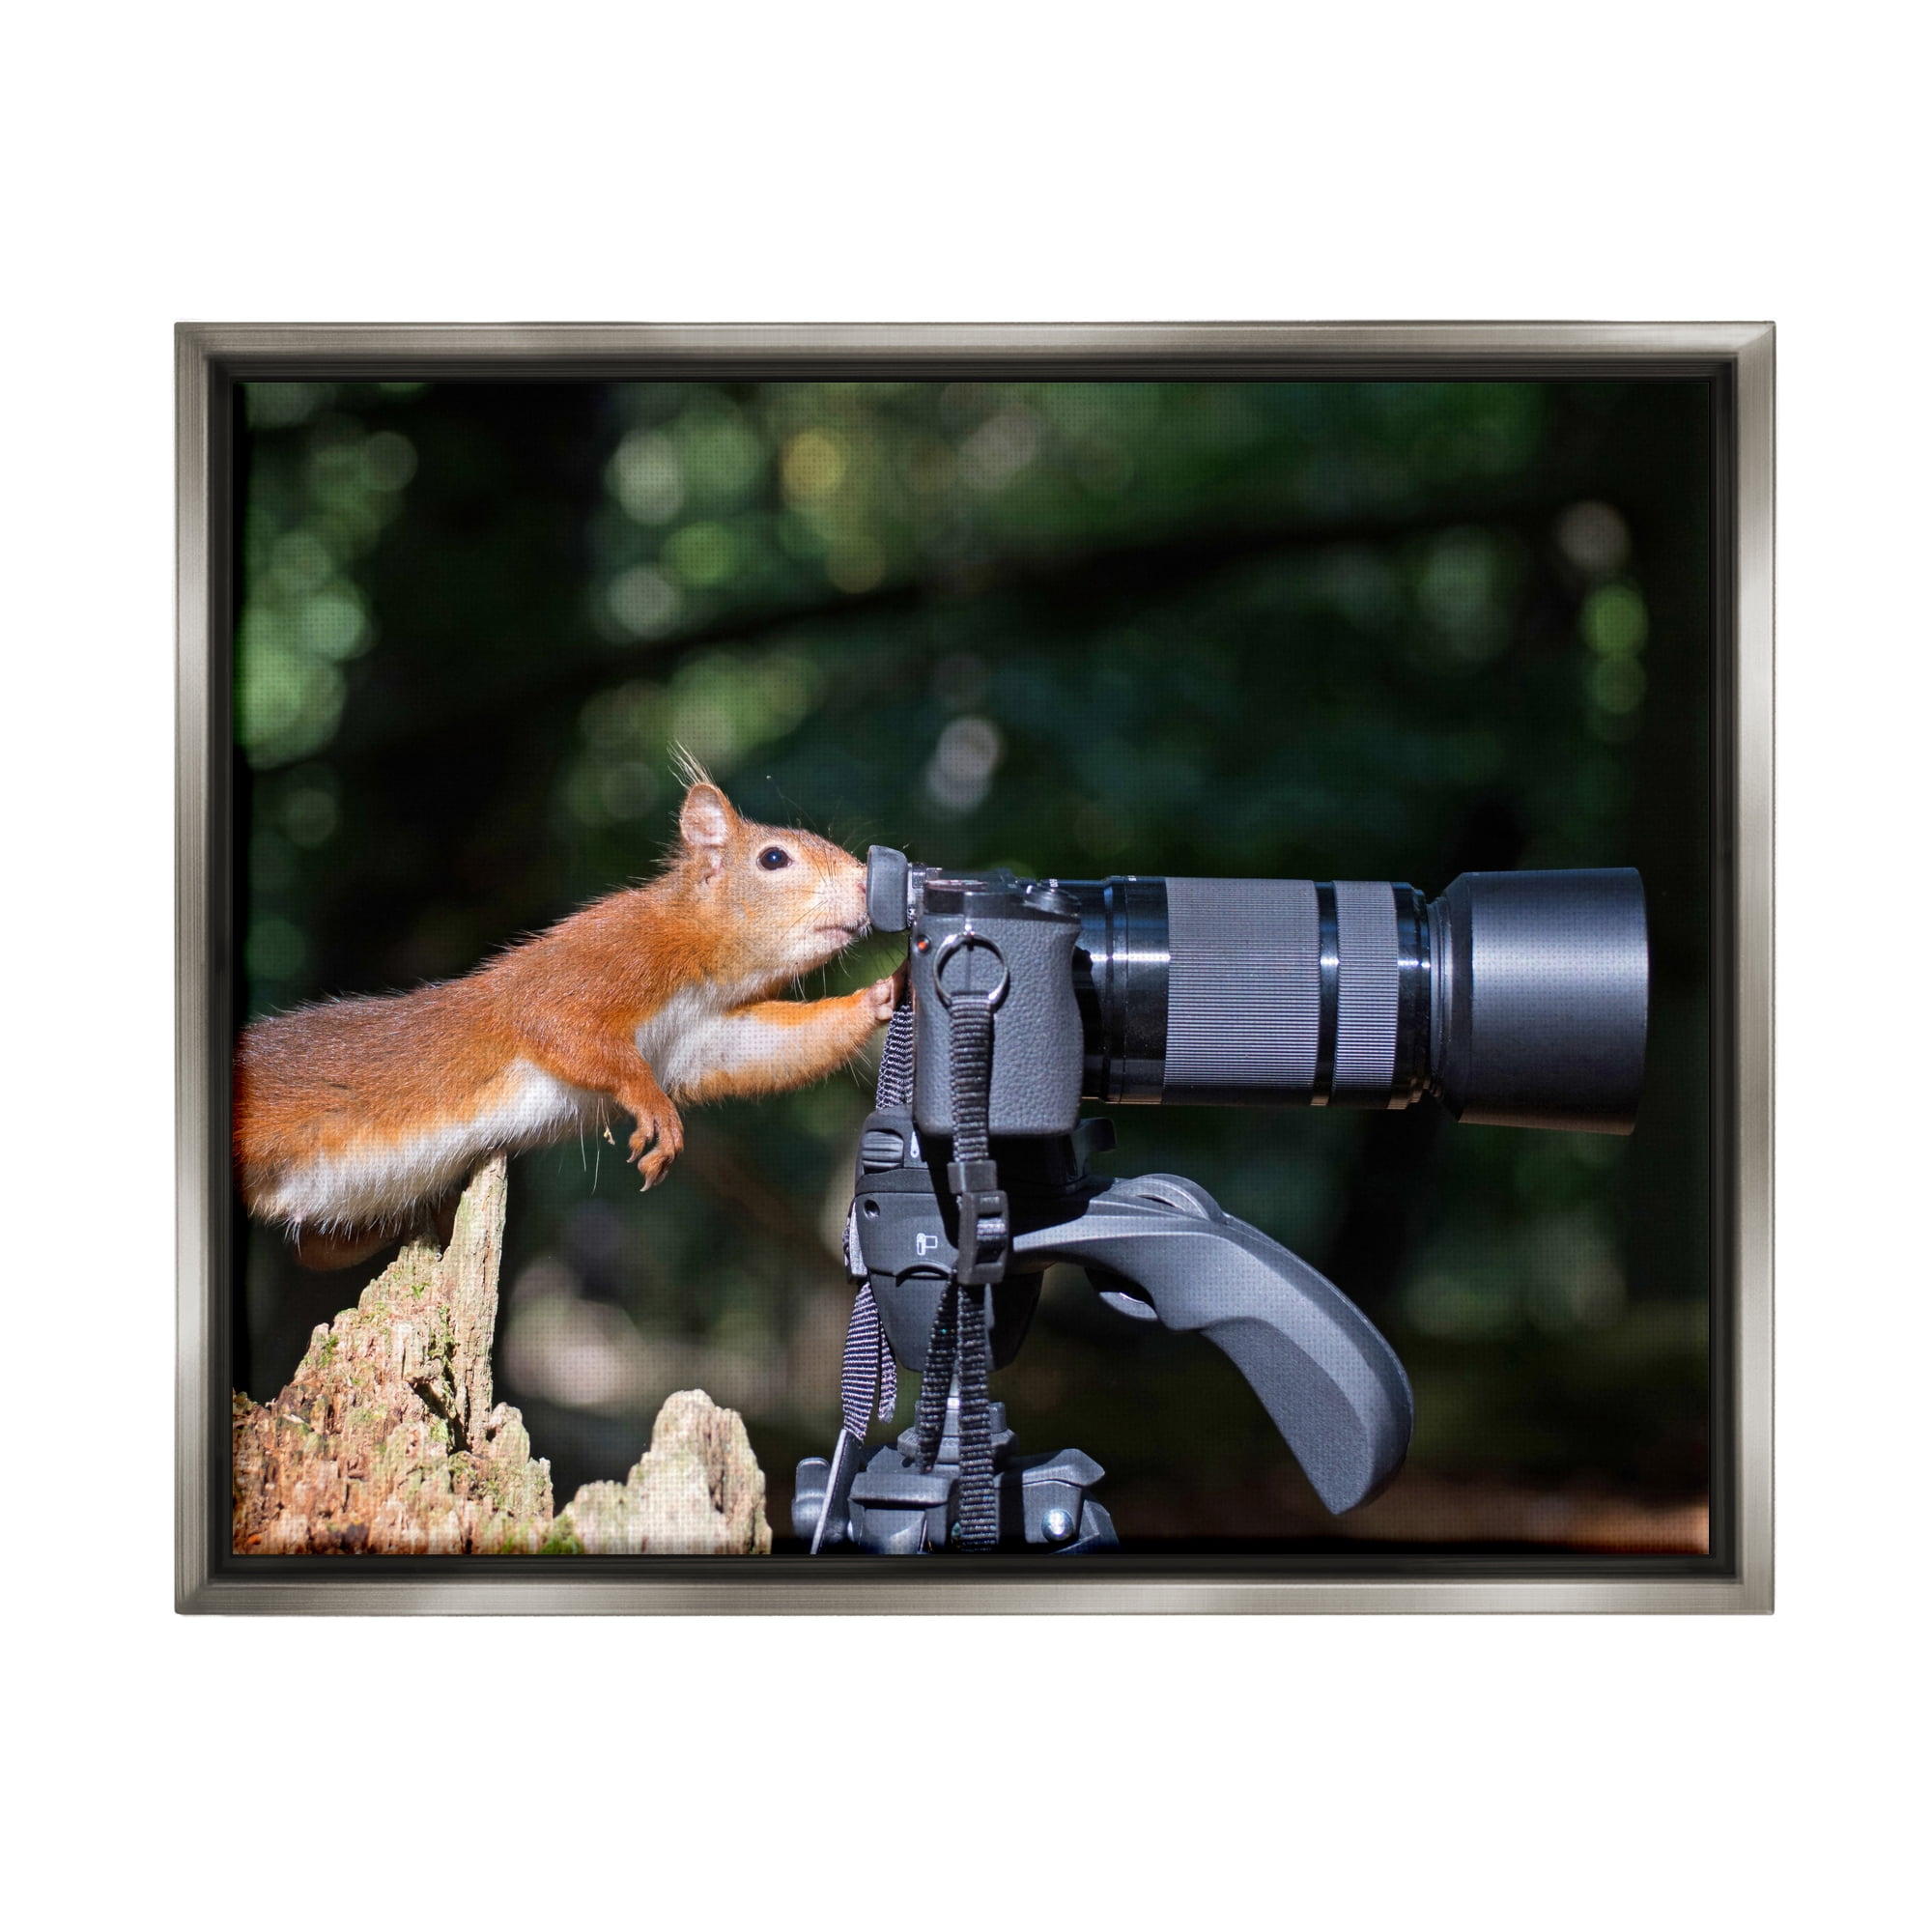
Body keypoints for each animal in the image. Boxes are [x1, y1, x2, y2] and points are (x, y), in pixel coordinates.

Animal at [234, 772, 903, 1271]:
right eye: (773, 858)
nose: (867, 885)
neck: (704, 963)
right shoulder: (598, 959)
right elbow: (559, 1024)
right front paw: (653, 1108)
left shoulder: (703, 1037)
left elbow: (767, 1048)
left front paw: (887, 992)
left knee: (318, 1251)